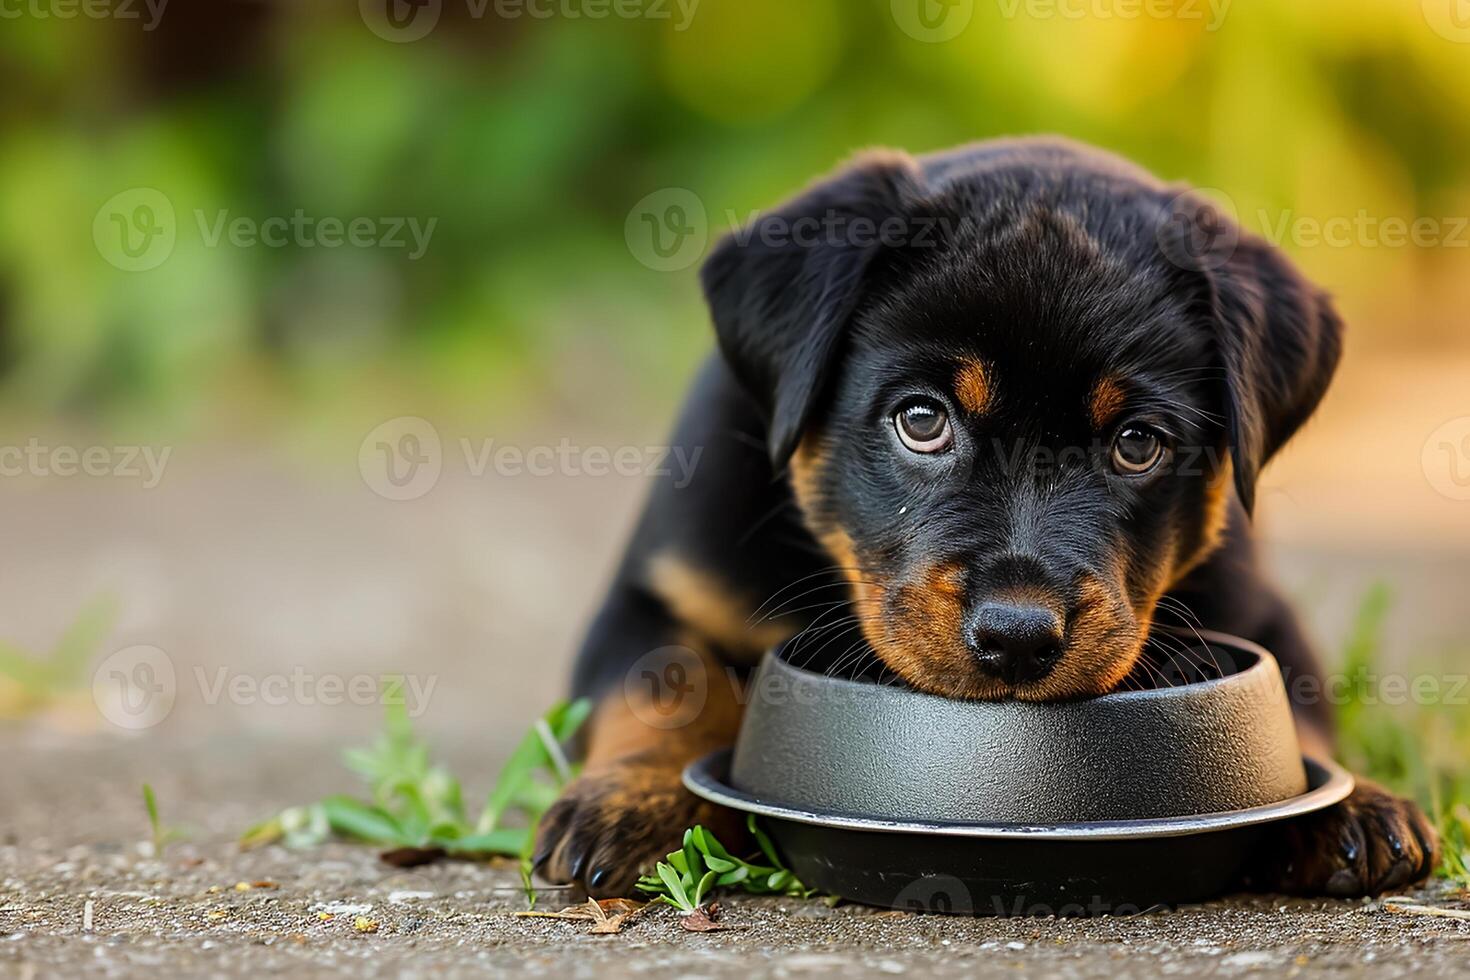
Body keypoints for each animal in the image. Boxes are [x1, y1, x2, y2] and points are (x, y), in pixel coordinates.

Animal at [538, 139, 1434, 905]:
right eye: (921, 420)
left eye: (1138, 444)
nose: (1018, 637)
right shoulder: (660, 591)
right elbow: (663, 685)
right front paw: (635, 801)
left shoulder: (1263, 612)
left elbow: (1301, 708)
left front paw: (1350, 804)